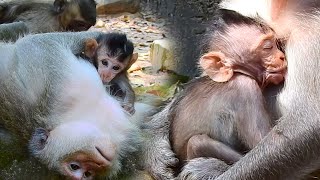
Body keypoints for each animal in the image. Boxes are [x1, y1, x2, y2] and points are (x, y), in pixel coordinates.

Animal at [142, 8, 288, 180]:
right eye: (267, 47)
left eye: (275, 43)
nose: (282, 57)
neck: (235, 74)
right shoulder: (245, 88)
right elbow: (261, 142)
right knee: (197, 142)